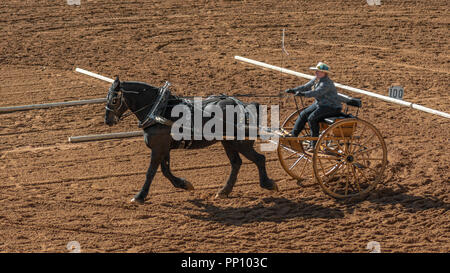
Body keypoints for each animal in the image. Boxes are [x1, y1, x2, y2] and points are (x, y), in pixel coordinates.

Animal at [104, 75, 278, 203]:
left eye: (114, 99)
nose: (107, 121)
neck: (159, 110)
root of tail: (244, 106)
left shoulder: (158, 148)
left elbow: (151, 172)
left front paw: (139, 196)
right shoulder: (163, 148)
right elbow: (165, 170)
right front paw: (184, 184)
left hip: (240, 143)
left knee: (259, 159)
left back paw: (268, 184)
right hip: (228, 142)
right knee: (236, 163)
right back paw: (224, 191)